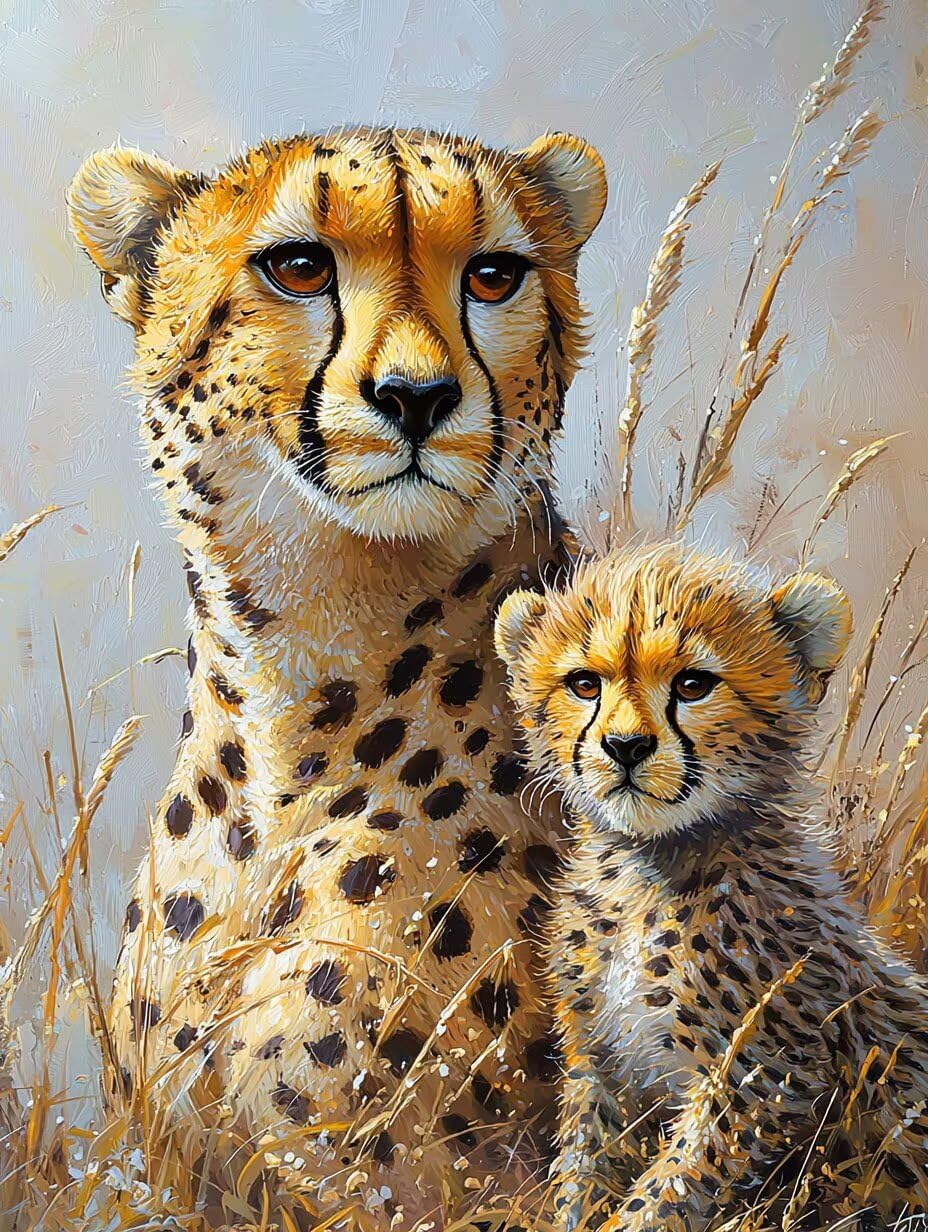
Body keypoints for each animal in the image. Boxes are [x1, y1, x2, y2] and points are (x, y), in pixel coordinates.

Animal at [495, 540, 928, 1232]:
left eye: (693, 685)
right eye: (584, 684)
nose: (625, 746)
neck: (647, 870)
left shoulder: (758, 1079)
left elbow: (663, 1195)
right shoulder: (599, 1067)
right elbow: (585, 1172)